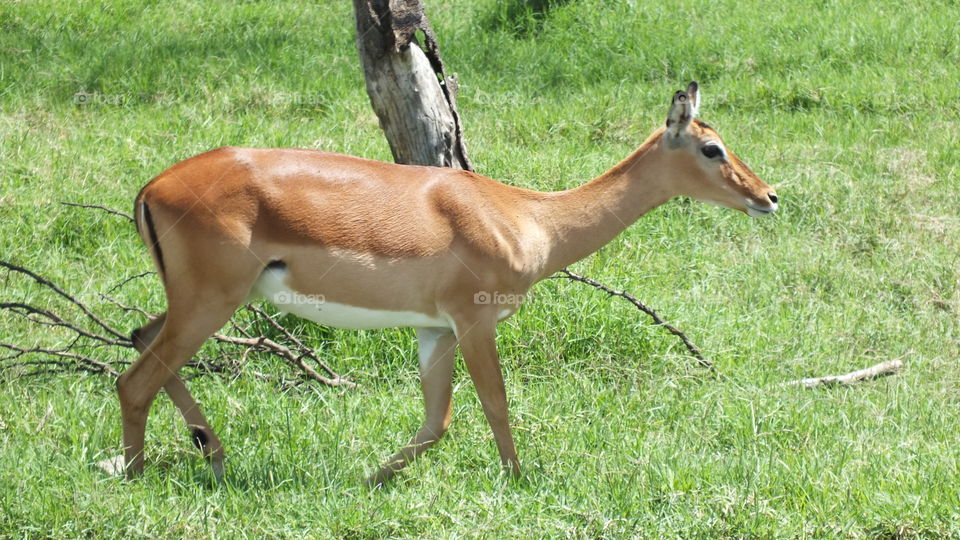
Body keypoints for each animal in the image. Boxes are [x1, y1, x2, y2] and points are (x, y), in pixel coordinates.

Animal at [119, 82, 778, 486]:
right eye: (712, 148)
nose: (769, 196)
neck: (526, 217)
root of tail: (153, 187)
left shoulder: (433, 329)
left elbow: (437, 420)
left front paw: (369, 479)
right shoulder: (474, 318)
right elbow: (495, 403)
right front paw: (520, 481)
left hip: (200, 302)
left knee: (138, 337)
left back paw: (212, 453)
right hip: (212, 302)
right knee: (134, 379)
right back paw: (139, 473)